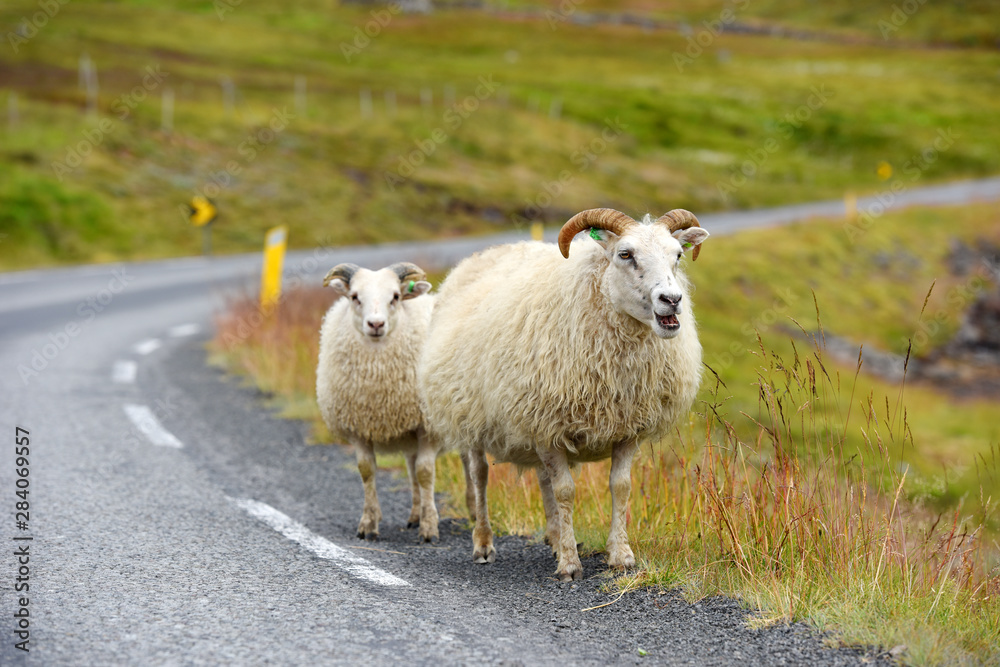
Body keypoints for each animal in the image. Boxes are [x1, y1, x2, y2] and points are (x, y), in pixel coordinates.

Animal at [316, 261, 440, 542]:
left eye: (395, 296)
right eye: (354, 297)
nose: (375, 324)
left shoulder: (426, 426)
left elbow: (425, 473)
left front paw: (430, 528)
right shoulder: (360, 427)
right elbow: (367, 471)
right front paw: (368, 523)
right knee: (410, 466)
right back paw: (414, 515)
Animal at [418, 208, 709, 580]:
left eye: (678, 255)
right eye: (625, 254)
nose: (671, 300)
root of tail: (489, 252)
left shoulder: (625, 429)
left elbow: (620, 487)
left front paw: (620, 556)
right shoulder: (545, 426)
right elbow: (566, 491)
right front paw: (570, 564)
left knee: (542, 480)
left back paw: (555, 538)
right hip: (469, 416)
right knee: (480, 476)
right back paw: (483, 543)